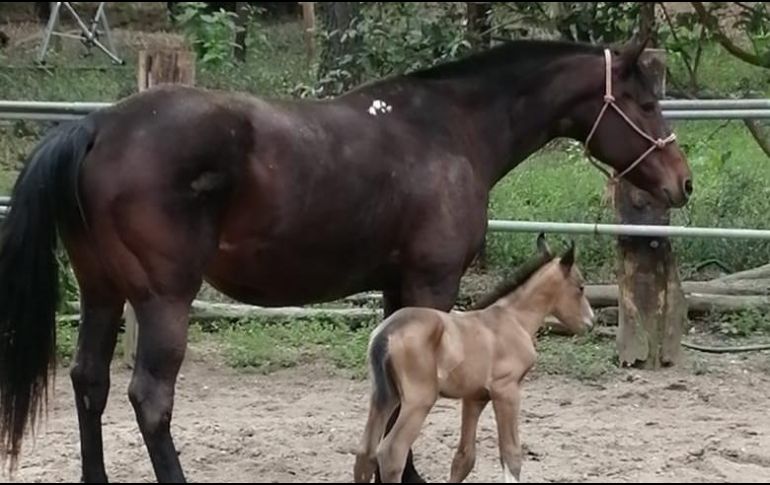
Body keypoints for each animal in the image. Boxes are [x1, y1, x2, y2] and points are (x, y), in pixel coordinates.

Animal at [353, 234, 592, 483]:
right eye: (581, 287)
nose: (590, 322)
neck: (514, 319)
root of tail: (386, 332)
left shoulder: (474, 397)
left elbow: (464, 458)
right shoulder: (506, 390)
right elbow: (511, 454)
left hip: (384, 396)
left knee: (365, 453)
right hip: (419, 399)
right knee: (391, 452)